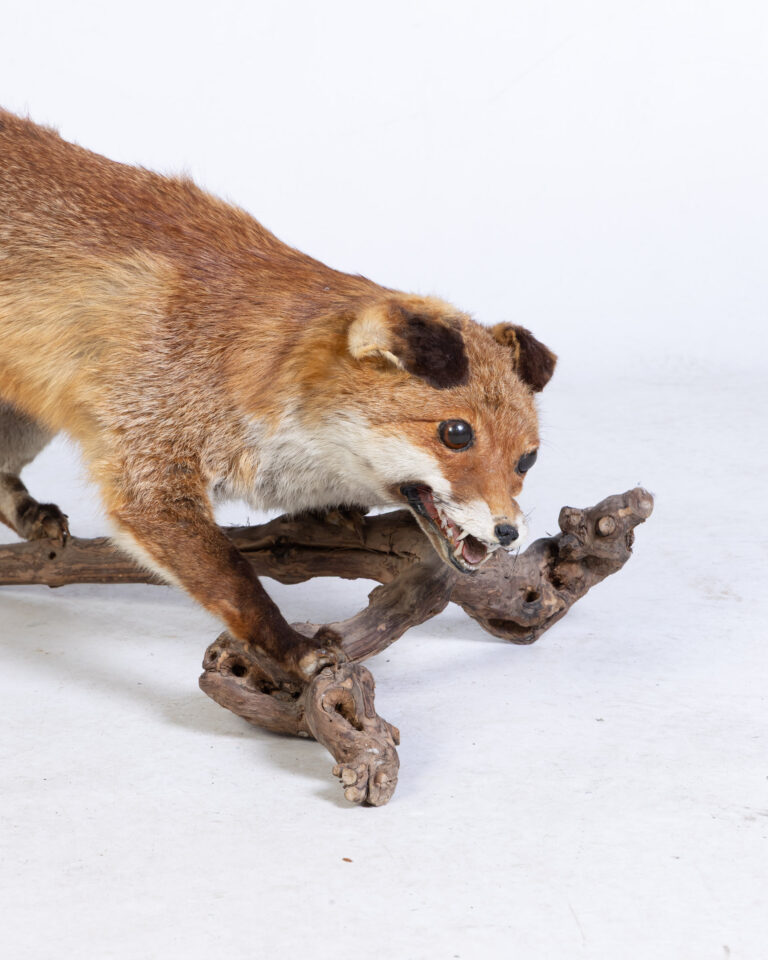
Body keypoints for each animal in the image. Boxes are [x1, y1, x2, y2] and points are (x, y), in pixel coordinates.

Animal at [0, 109, 556, 679]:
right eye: (456, 433)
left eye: (527, 460)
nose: (508, 532)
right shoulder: (150, 455)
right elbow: (233, 578)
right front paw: (288, 645)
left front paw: (330, 514)